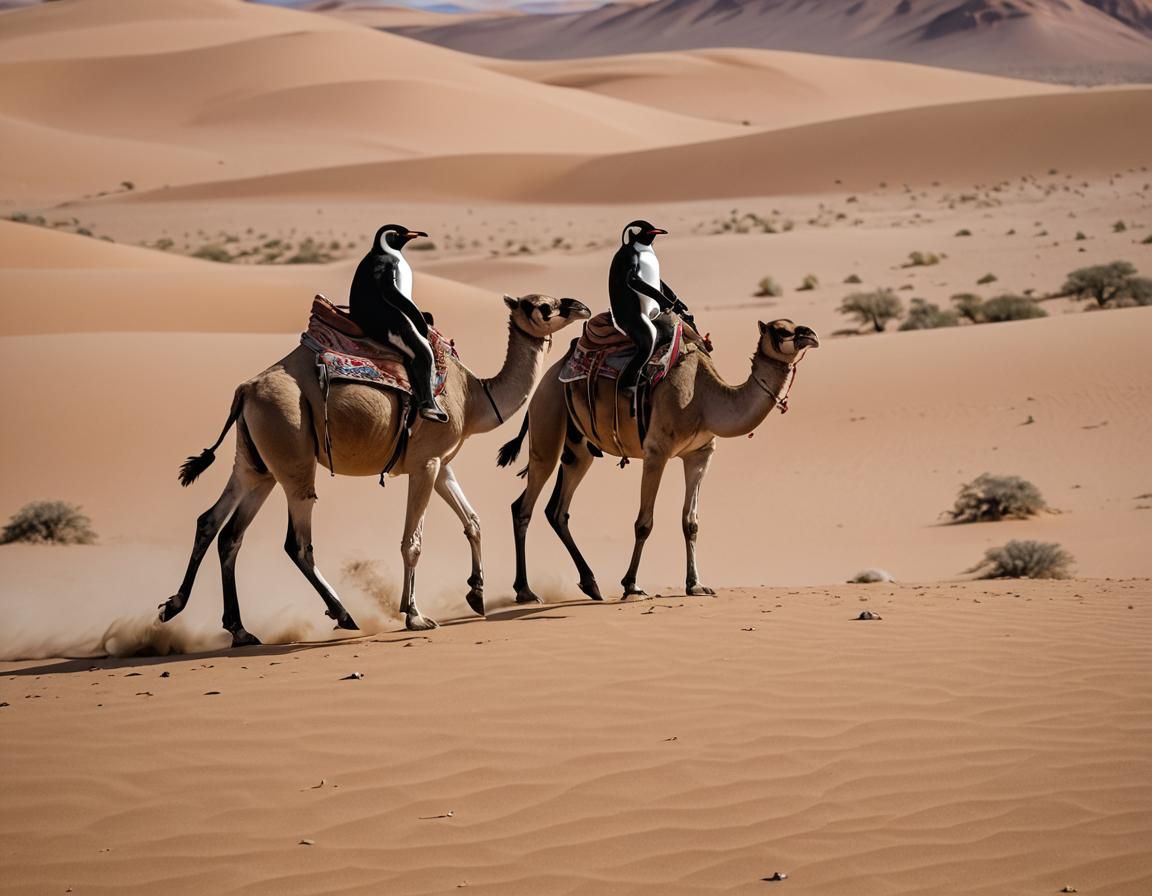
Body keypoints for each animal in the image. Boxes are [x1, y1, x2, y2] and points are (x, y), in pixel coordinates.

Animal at [160, 293, 591, 646]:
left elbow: (473, 521)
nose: (581, 307)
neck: (474, 397)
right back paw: (342, 614)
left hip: (256, 463)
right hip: (292, 453)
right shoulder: (425, 463)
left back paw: (219, 622)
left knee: (219, 527)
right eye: (544, 306)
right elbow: (413, 541)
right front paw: (415, 615)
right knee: (295, 542)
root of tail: (244, 390)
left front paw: (477, 593)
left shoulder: (442, 464)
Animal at [500, 317, 818, 602]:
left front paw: (695, 585)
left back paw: (590, 584)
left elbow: (691, 522)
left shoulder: (700, 454)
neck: (704, 397)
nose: (811, 335)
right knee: (523, 507)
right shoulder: (657, 451)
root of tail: (546, 379)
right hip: (548, 421)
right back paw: (526, 592)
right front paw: (631, 586)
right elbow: (644, 523)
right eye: (781, 330)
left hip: (579, 447)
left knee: (557, 510)